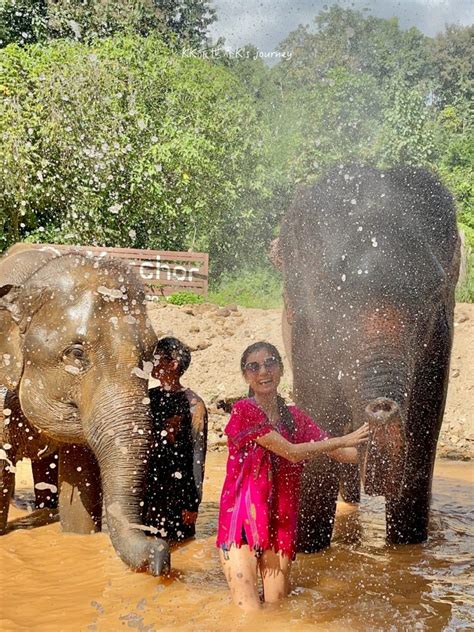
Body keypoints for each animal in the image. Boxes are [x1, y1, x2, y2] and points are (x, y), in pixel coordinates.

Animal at [276, 165, 462, 552]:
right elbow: (319, 419)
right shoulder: (307, 336)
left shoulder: (440, 339)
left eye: (434, 293)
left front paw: (406, 551)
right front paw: (308, 548)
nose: (382, 406)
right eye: (329, 294)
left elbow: (424, 423)